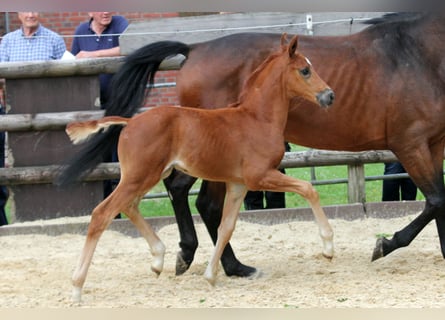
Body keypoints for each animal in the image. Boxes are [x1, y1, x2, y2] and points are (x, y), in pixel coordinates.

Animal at [62, 35, 332, 302]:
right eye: (305, 70)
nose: (329, 95)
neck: (257, 119)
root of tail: (130, 121)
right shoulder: (260, 177)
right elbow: (309, 189)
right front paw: (328, 247)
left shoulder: (238, 184)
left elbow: (226, 227)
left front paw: (211, 276)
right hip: (140, 176)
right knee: (102, 213)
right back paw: (76, 288)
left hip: (147, 176)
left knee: (129, 206)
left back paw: (158, 259)